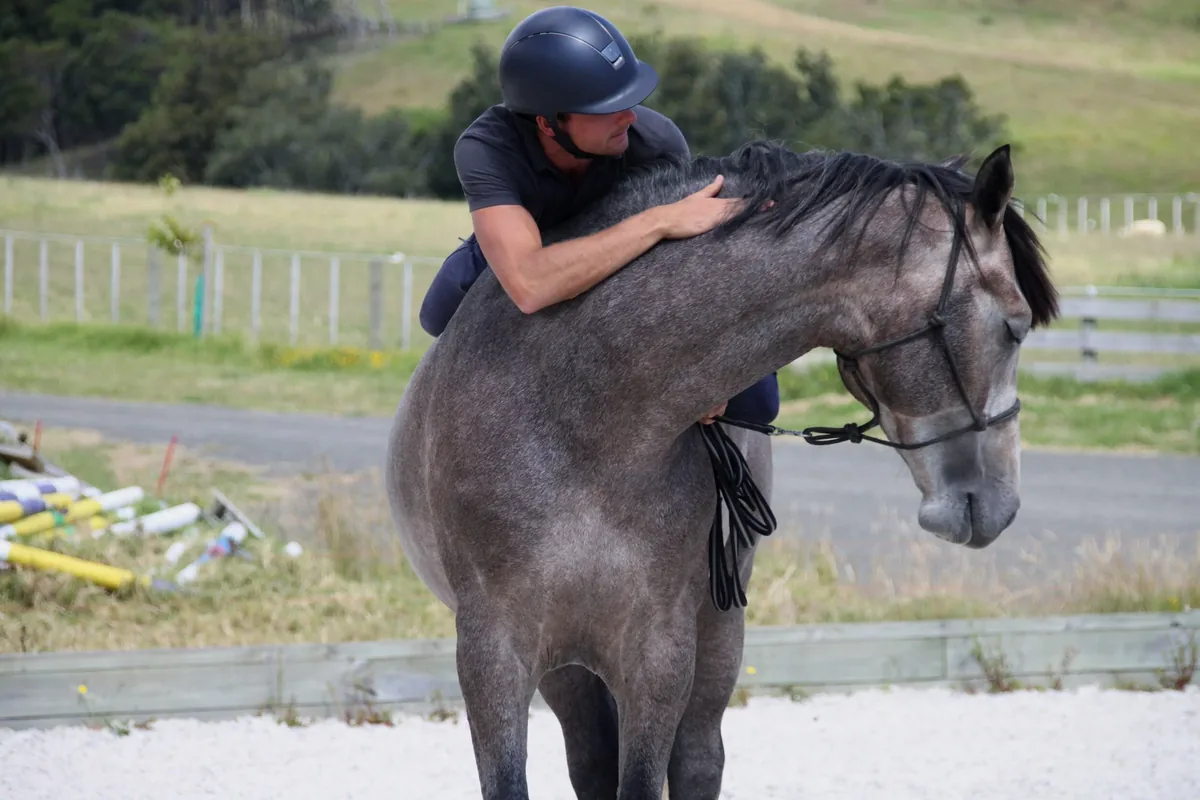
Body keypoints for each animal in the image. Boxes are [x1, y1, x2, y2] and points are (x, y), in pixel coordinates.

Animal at [384, 140, 1059, 799]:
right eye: (1015, 326)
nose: (997, 502)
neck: (581, 415)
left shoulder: (659, 651)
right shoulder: (494, 651)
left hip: (715, 635)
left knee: (697, 759)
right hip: (567, 669)